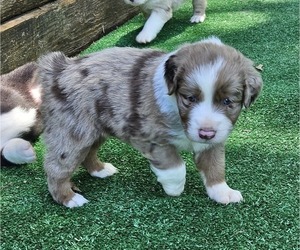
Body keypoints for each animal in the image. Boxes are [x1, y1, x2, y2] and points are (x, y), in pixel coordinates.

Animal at [38, 37, 262, 208]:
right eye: (189, 98)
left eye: (228, 101)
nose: (206, 133)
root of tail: (60, 67)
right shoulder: (149, 137)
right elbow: (176, 167)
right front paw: (174, 188)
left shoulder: (214, 141)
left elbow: (215, 166)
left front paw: (222, 192)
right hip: (72, 133)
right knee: (56, 167)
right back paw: (69, 199)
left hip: (95, 130)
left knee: (88, 153)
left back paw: (100, 170)